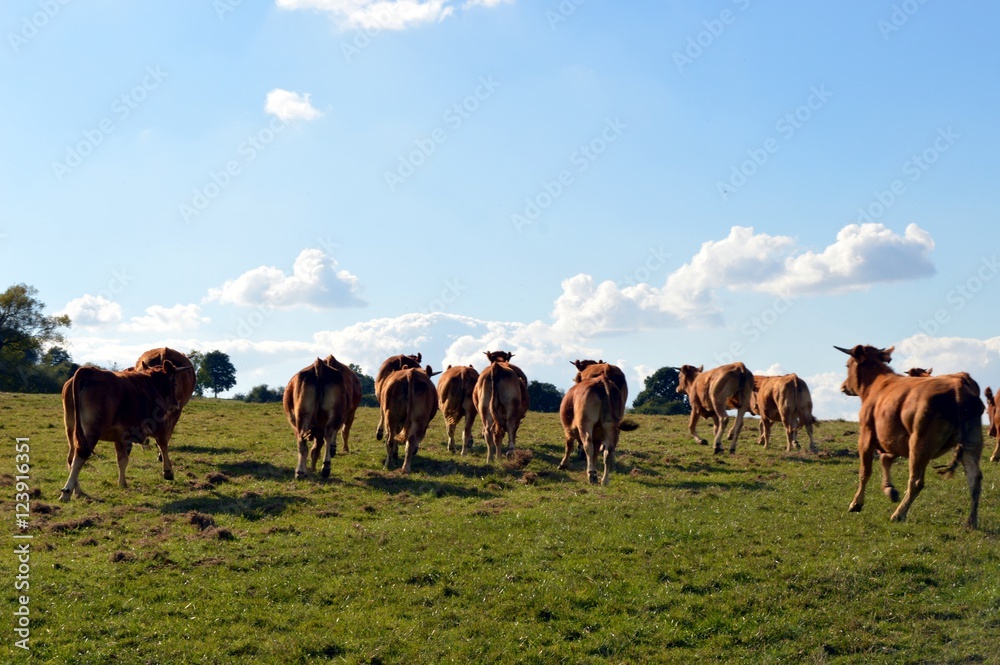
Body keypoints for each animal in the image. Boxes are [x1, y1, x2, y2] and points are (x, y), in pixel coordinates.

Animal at [59, 361, 193, 501]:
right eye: (174, 383)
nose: (176, 404)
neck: (151, 384)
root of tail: (89, 371)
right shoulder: (158, 425)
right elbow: (163, 445)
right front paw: (168, 472)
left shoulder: (120, 436)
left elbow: (122, 460)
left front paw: (122, 483)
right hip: (91, 432)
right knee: (80, 457)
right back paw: (67, 491)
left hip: (71, 431)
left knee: (71, 458)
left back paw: (78, 491)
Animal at [836, 344, 984, 528]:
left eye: (847, 365)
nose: (843, 386)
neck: (878, 384)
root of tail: (958, 385)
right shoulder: (892, 439)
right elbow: (886, 460)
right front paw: (889, 489)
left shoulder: (866, 436)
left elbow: (865, 471)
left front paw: (856, 503)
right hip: (970, 443)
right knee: (974, 479)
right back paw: (972, 521)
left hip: (920, 444)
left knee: (916, 481)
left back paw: (898, 514)